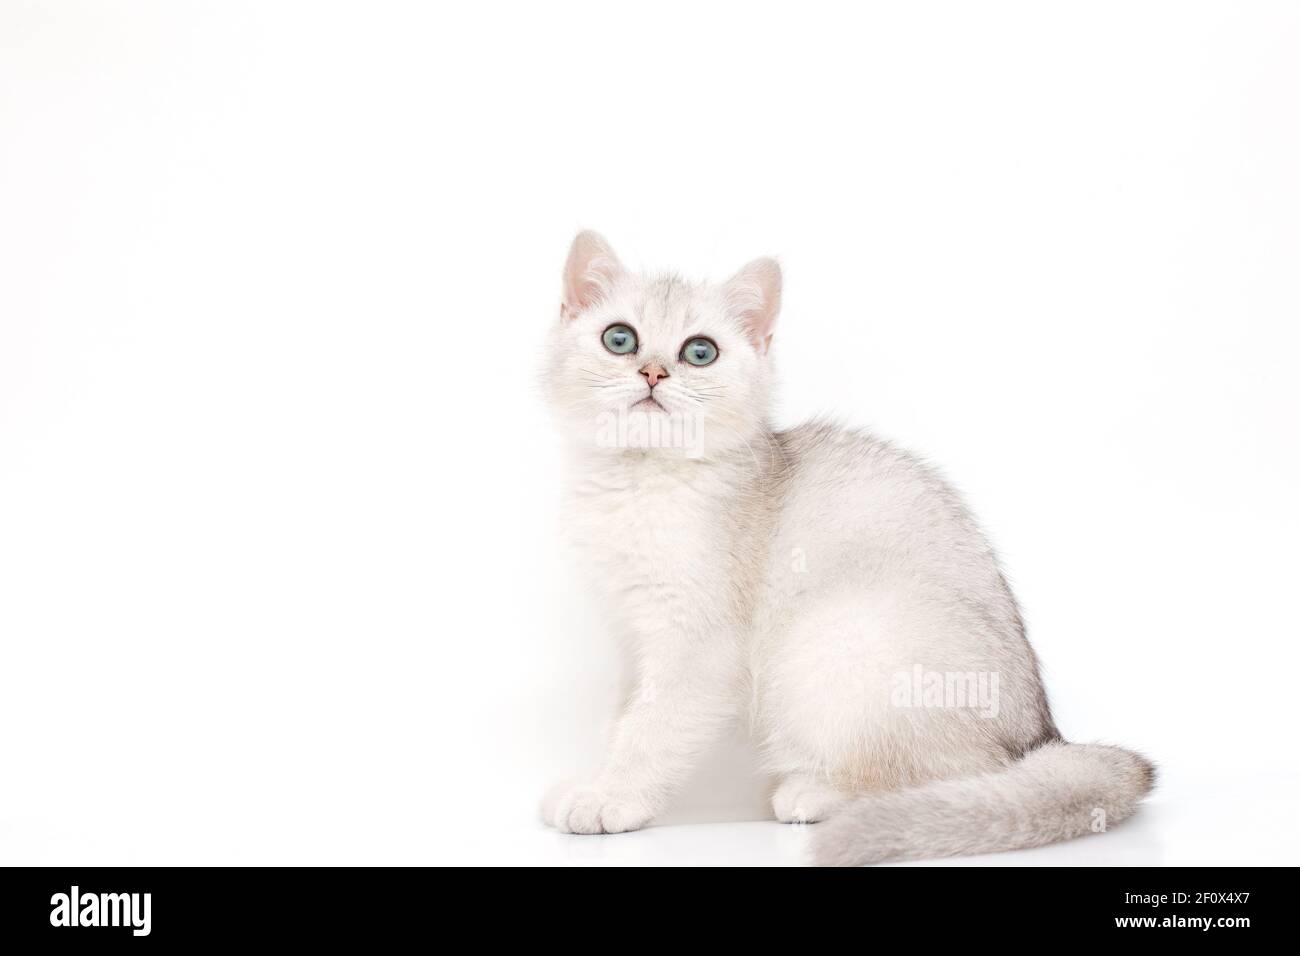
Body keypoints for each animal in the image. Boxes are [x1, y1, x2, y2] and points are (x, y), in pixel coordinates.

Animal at [543, 234, 1154, 868]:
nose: (654, 371)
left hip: (829, 636)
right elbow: (625, 715)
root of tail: (1043, 737)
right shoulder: (628, 630)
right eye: (620, 339)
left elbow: (651, 729)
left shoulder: (698, 642)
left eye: (700, 352)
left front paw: (612, 797)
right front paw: (605, 781)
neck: (639, 479)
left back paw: (820, 794)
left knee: (962, 772)